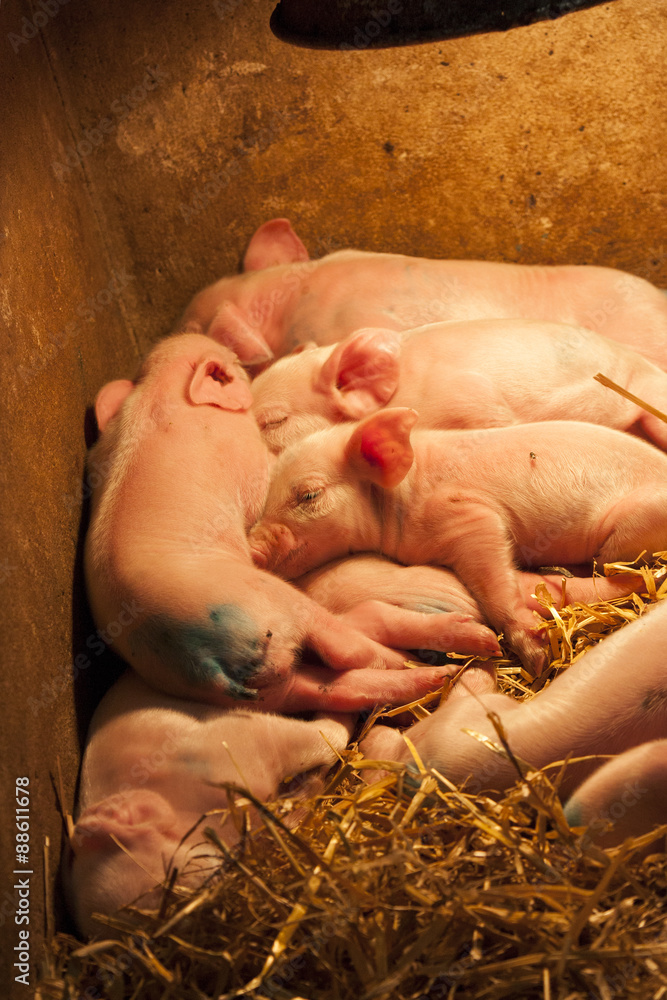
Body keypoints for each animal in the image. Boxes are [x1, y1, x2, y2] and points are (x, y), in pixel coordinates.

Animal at [85, 332, 495, 715]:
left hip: (256, 690)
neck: (155, 392)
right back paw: (468, 645)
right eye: (235, 365)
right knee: (350, 646)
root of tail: (205, 663)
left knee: (333, 685)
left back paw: (433, 675)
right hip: (273, 602)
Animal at [249, 409, 667, 673]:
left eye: (308, 495)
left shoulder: (469, 515)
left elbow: (495, 577)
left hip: (627, 529)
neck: (400, 497)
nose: (251, 548)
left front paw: (536, 660)